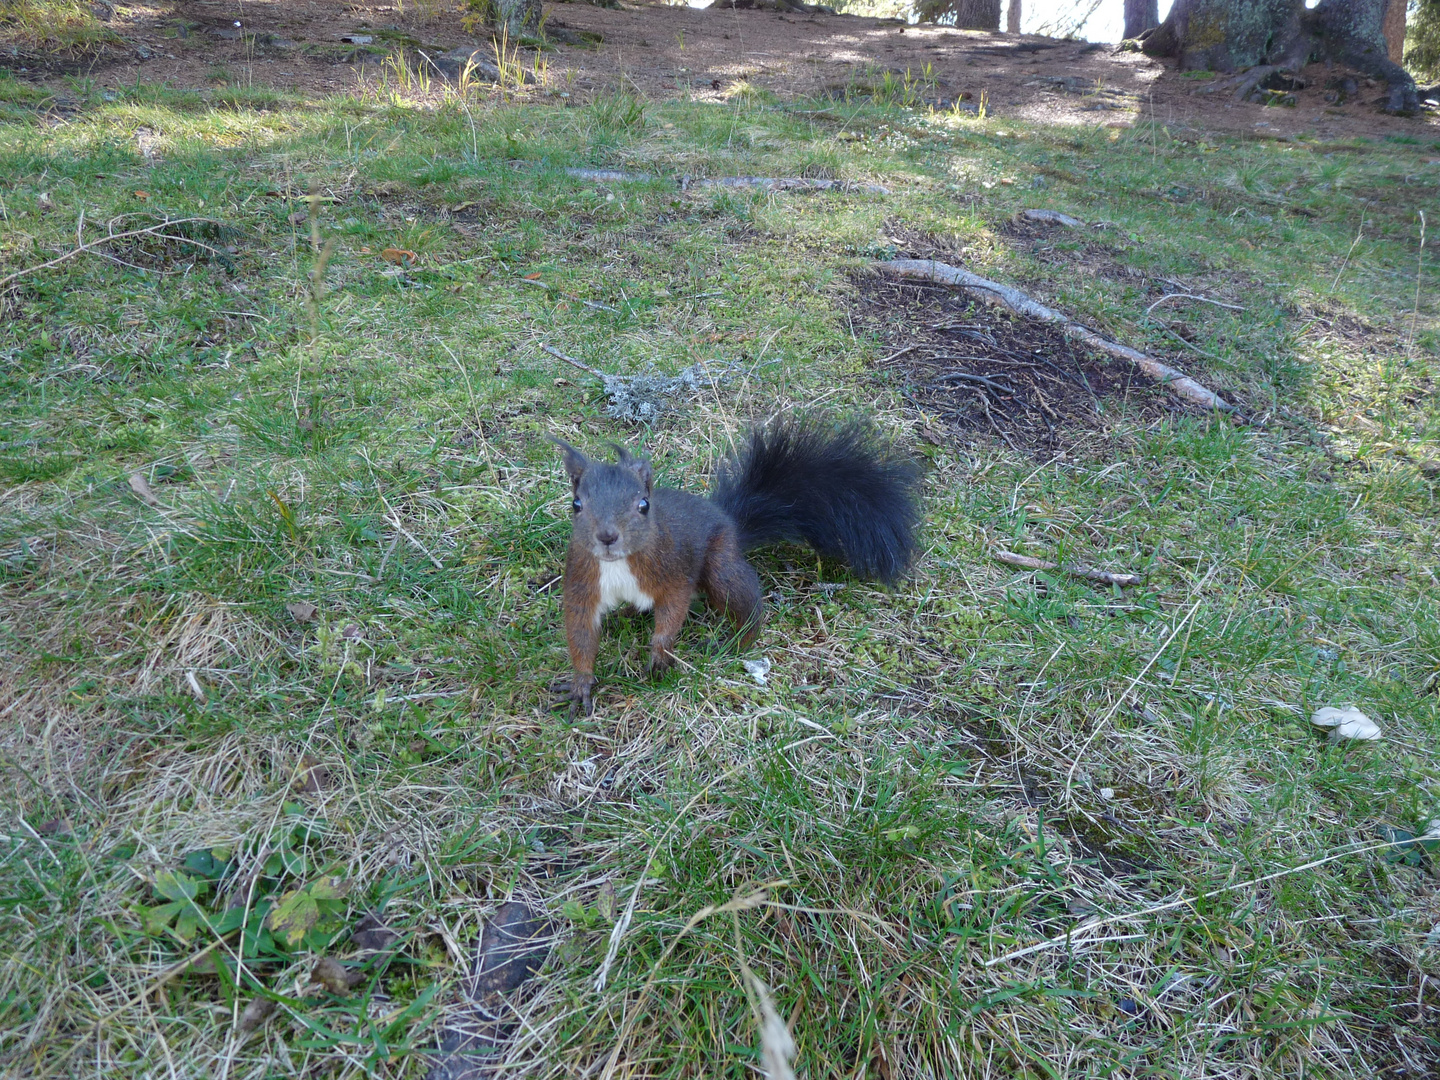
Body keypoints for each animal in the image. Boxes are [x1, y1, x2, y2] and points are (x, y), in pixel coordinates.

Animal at [550, 417, 921, 714]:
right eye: (576, 504)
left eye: (643, 505)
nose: (607, 536)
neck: (617, 565)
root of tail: (729, 519)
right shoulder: (582, 583)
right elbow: (580, 632)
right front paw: (581, 683)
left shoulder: (672, 573)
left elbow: (672, 612)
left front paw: (659, 655)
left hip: (720, 565)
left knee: (746, 600)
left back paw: (735, 642)